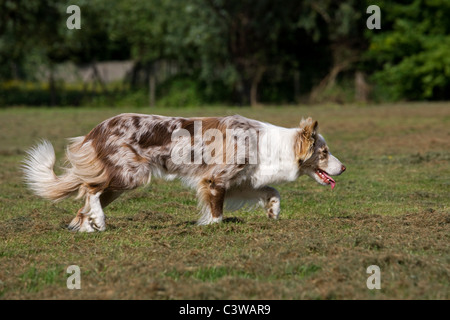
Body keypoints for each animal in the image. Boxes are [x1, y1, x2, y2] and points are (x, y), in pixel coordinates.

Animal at [22, 114, 346, 231]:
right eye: (324, 152)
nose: (344, 167)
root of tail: (97, 128)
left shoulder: (242, 180)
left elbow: (271, 190)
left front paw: (273, 210)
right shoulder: (215, 178)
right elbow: (216, 212)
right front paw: (211, 226)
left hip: (120, 181)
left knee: (86, 200)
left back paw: (90, 226)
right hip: (130, 174)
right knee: (90, 190)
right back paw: (98, 221)